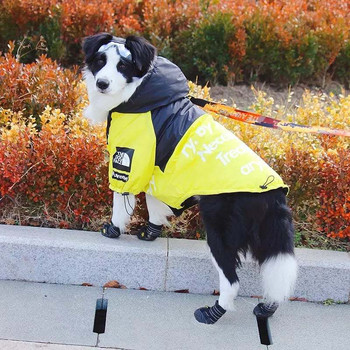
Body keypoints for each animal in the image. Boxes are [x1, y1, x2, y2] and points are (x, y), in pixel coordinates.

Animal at [82, 33, 298, 326]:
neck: (139, 92)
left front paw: (114, 229)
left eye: (123, 66)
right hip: (268, 236)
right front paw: (150, 232)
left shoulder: (131, 157)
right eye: (100, 61)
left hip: (220, 231)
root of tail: (271, 193)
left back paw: (213, 313)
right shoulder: (158, 169)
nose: (102, 83)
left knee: (232, 281)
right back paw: (266, 308)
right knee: (275, 277)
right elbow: (155, 203)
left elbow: (121, 198)